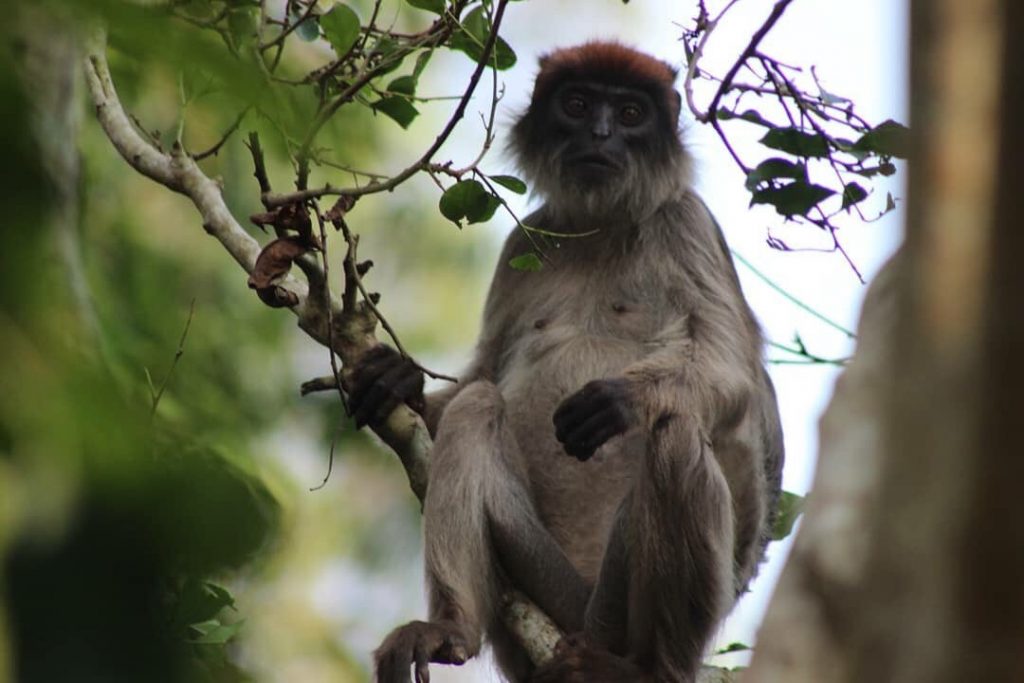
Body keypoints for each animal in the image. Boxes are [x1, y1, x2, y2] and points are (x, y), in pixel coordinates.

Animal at [352, 41, 782, 683]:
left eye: (630, 114)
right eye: (577, 105)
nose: (601, 134)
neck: (599, 227)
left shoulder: (685, 220)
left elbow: (730, 368)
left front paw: (620, 399)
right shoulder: (524, 242)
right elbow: (482, 376)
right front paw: (399, 380)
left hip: (613, 606)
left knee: (676, 430)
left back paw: (648, 669)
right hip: (547, 587)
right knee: (479, 404)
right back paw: (452, 628)